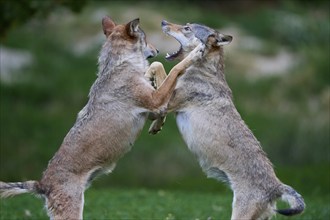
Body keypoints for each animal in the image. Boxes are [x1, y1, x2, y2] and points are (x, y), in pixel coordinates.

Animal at [0, 17, 204, 220]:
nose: (158, 50)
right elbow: (174, 69)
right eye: (145, 39)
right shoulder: (155, 101)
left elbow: (160, 77)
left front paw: (157, 125)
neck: (119, 64)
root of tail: (41, 184)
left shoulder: (152, 108)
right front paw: (195, 53)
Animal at [148, 19, 306, 219]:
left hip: (238, 215)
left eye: (187, 28)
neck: (203, 70)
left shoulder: (168, 100)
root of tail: (276, 186)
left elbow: (163, 67)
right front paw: (156, 125)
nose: (163, 22)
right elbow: (158, 67)